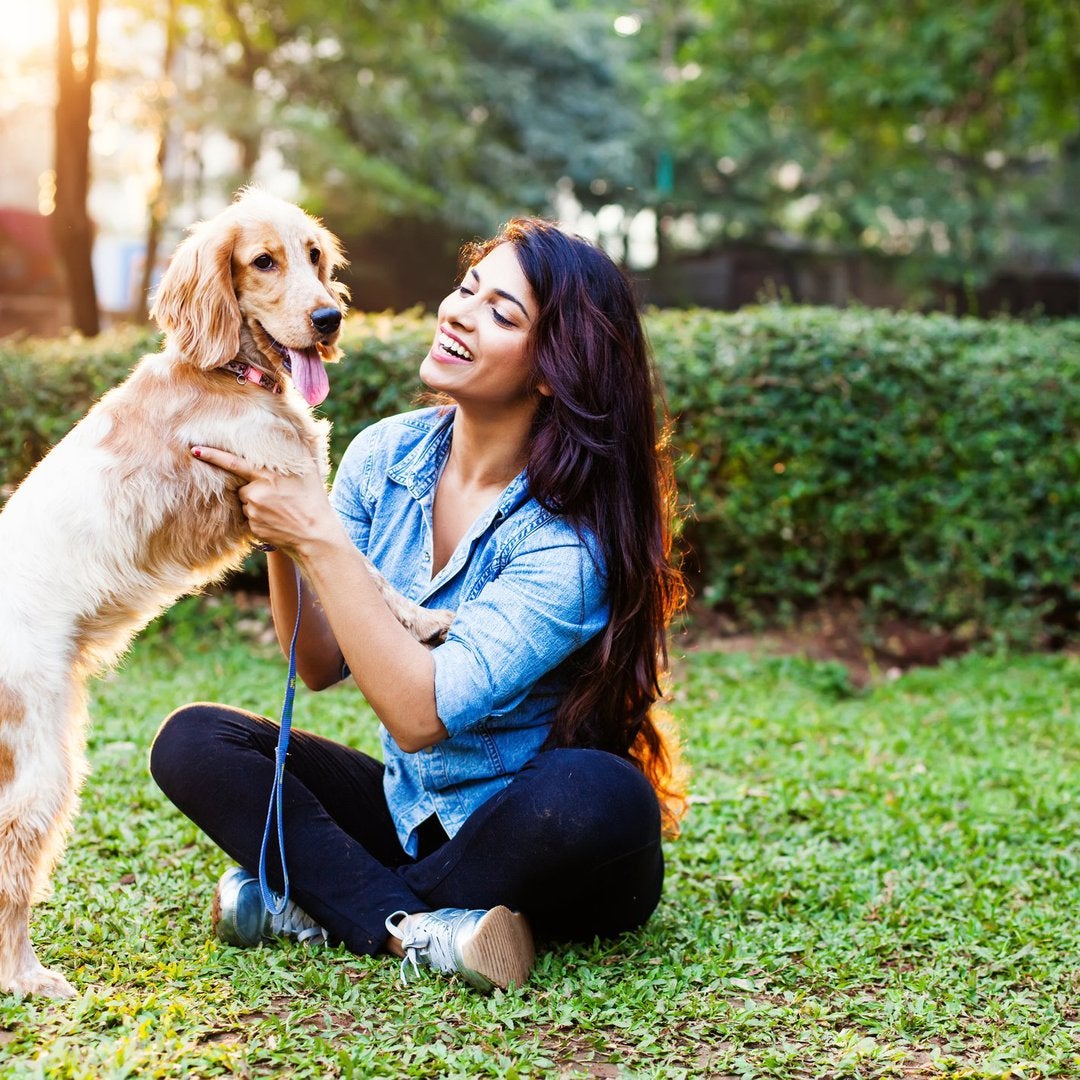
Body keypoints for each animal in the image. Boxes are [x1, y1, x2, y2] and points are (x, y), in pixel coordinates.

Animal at [0, 187, 451, 993]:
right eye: (262, 261)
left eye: (314, 256)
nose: (329, 319)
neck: (228, 374)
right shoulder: (291, 493)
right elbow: (370, 575)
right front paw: (422, 620)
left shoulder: (290, 514)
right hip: (42, 762)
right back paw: (26, 976)